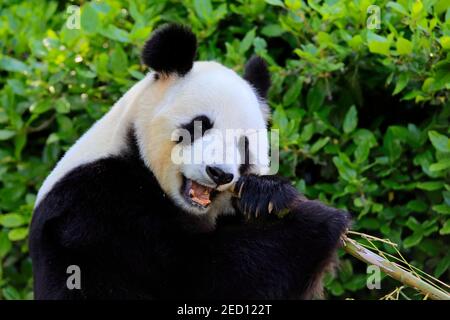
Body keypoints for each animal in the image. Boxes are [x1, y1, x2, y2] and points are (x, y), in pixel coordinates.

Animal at [29, 24, 350, 300]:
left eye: (244, 145)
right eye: (200, 125)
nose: (219, 173)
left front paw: (267, 195)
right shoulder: (97, 207)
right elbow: (197, 274)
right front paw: (321, 219)